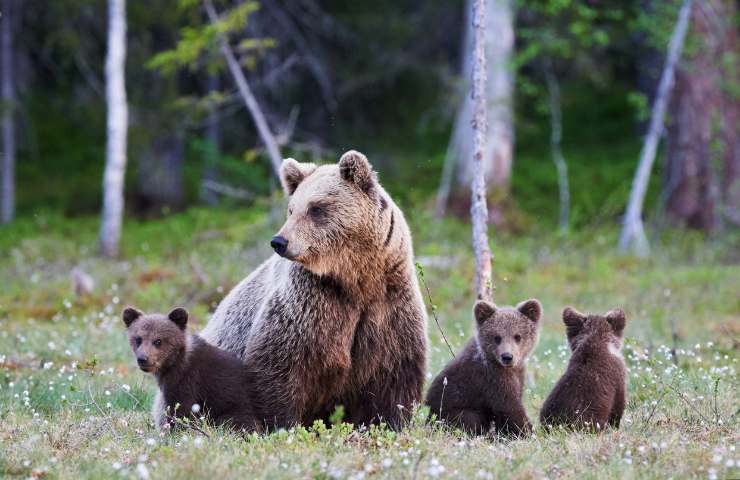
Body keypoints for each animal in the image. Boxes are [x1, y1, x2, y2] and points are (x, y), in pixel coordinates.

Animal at [125, 306, 264, 434]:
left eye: (158, 341)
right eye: (138, 339)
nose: (143, 359)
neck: (174, 363)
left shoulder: (187, 380)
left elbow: (182, 409)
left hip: (237, 408)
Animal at [199, 151, 428, 432]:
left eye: (316, 208)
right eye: (291, 209)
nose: (279, 241)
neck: (356, 278)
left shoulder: (388, 305)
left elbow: (394, 374)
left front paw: (389, 422)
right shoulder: (310, 304)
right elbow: (280, 366)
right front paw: (281, 424)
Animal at [424, 302, 540, 436]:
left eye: (517, 336)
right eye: (497, 337)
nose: (507, 356)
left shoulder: (517, 375)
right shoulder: (492, 379)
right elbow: (510, 408)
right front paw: (529, 433)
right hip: (452, 412)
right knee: (470, 419)